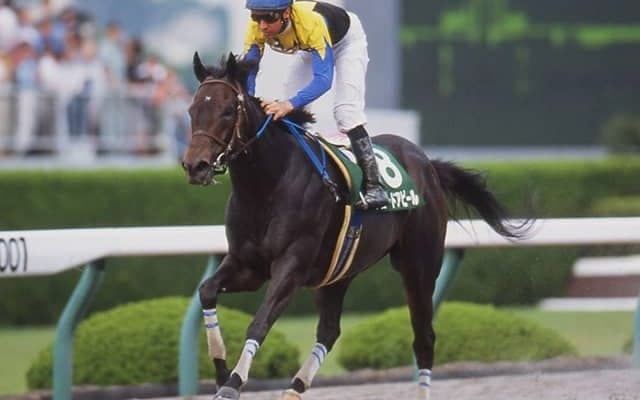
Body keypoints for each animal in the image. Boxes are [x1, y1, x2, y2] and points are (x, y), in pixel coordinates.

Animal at [181, 52, 527, 400]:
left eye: (227, 110)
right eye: (192, 110)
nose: (195, 166)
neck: (268, 185)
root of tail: (427, 163)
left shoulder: (291, 265)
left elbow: (260, 322)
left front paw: (233, 383)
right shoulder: (247, 265)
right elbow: (206, 291)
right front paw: (221, 372)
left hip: (419, 266)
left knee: (424, 338)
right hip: (339, 270)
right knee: (330, 330)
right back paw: (294, 388)